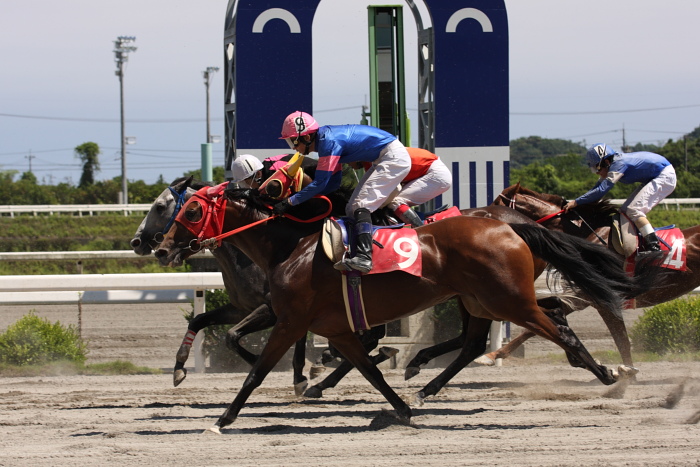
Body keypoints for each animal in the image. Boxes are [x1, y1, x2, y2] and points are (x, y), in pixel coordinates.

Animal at [156, 186, 660, 432]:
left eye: (191, 211)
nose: (159, 248)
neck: (292, 247)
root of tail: (511, 227)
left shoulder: (290, 320)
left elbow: (257, 371)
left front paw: (223, 419)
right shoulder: (336, 328)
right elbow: (370, 371)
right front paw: (398, 407)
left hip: (508, 299)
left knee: (558, 329)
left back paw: (611, 376)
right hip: (479, 299)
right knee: (480, 341)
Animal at [486, 185, 700, 368]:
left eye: (496, 203)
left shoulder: (602, 300)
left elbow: (622, 341)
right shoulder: (584, 296)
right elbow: (536, 326)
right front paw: (494, 354)